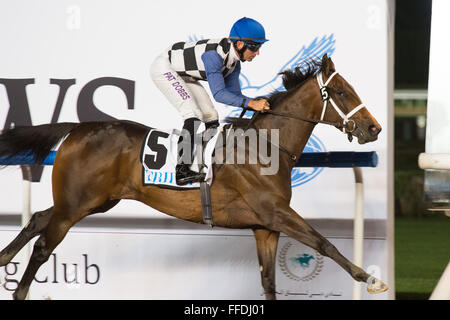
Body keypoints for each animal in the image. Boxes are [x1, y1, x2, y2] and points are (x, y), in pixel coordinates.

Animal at [0, 53, 386, 298]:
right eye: (340, 92)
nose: (374, 128)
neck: (265, 147)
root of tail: (77, 128)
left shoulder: (265, 226)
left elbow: (269, 281)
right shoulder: (276, 212)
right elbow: (324, 243)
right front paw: (370, 279)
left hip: (92, 201)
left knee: (37, 219)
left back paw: (4, 259)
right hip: (77, 204)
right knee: (43, 246)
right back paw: (20, 288)